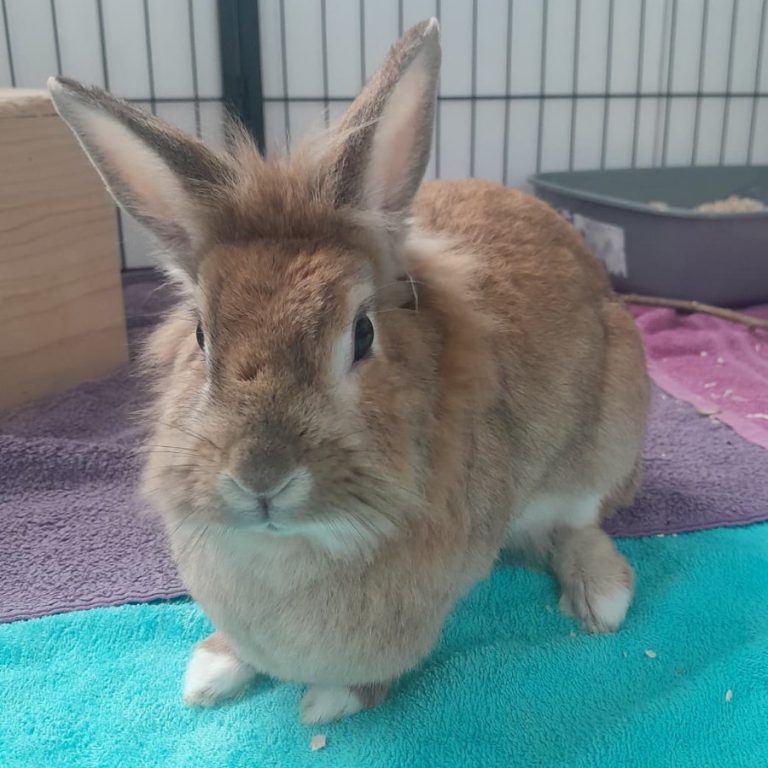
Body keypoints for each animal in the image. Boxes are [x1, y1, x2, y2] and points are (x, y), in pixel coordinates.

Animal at [48, 17, 649, 725]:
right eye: (200, 335)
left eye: (362, 334)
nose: (261, 477)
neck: (295, 545)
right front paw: (213, 669)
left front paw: (331, 702)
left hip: (608, 436)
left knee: (577, 524)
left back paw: (601, 596)